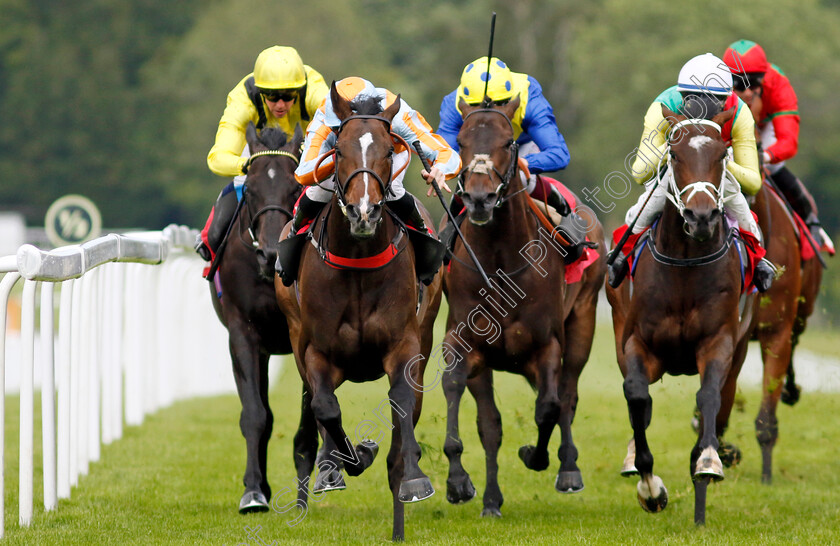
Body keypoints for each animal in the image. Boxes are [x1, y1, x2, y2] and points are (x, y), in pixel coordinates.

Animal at [208, 122, 306, 510]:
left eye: (295, 187)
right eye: (248, 189)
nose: (270, 254)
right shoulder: (243, 335)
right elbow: (255, 414)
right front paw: (252, 491)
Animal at [276, 84, 446, 540]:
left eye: (389, 150)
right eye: (340, 149)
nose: (364, 212)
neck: (357, 260)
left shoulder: (404, 345)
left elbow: (402, 404)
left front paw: (411, 479)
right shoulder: (316, 351)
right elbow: (325, 408)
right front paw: (347, 461)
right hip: (296, 338)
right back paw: (329, 466)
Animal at [442, 96, 608, 516]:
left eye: (507, 141)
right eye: (462, 142)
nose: (479, 199)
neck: (499, 260)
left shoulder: (547, 344)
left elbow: (548, 406)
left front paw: (536, 454)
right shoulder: (466, 343)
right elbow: (472, 408)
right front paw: (461, 484)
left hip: (583, 323)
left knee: (567, 395)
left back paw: (568, 469)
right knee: (495, 421)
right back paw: (492, 497)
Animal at [608, 106, 756, 524]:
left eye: (722, 155)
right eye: (673, 155)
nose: (701, 216)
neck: (685, 265)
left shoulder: (719, 341)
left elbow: (708, 396)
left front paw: (706, 462)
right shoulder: (637, 343)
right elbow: (637, 396)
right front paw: (650, 487)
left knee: (721, 398)